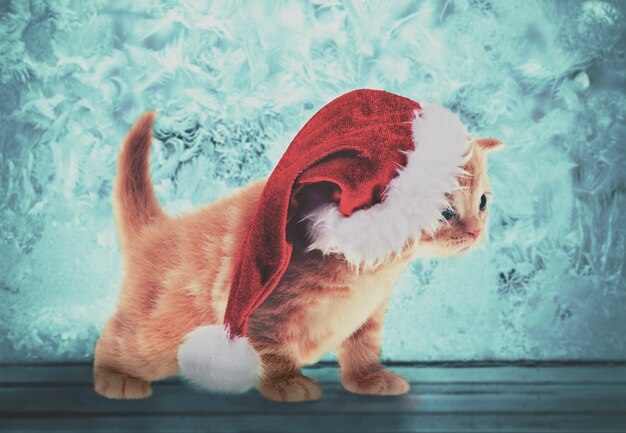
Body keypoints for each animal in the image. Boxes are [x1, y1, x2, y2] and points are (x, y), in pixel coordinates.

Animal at [94, 111, 502, 402]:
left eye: (483, 202)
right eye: (445, 211)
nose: (475, 232)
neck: (370, 266)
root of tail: (157, 230)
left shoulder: (369, 313)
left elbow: (363, 346)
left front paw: (369, 379)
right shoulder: (262, 303)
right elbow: (273, 349)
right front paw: (287, 383)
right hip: (155, 335)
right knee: (117, 338)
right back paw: (116, 377)